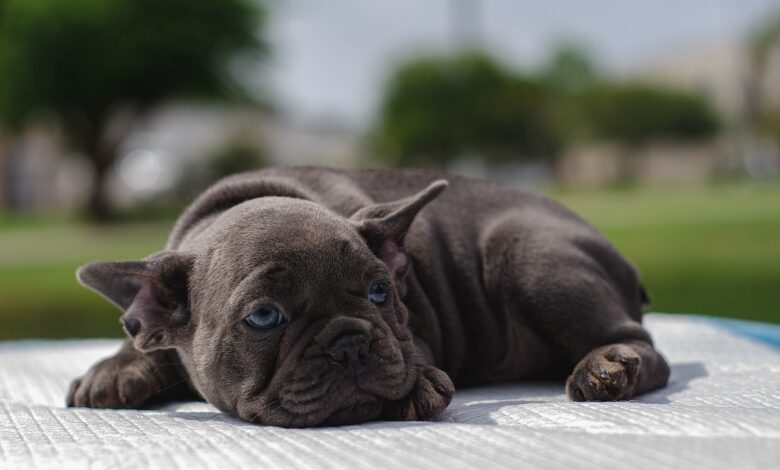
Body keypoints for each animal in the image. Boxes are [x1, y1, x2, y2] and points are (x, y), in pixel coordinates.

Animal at [65, 167, 672, 428]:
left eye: (382, 291)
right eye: (263, 316)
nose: (351, 343)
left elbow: (413, 349)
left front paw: (419, 381)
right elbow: (142, 343)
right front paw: (116, 367)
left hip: (527, 256)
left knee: (641, 344)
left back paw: (607, 367)